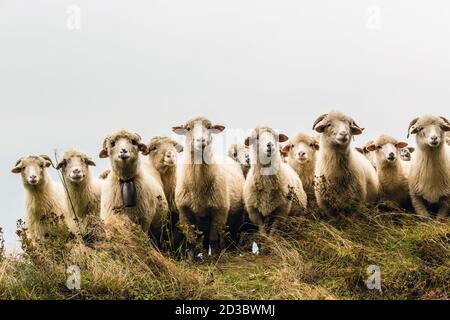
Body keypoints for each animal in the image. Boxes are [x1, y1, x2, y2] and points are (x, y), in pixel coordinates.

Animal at [171, 117, 244, 255]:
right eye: (188, 128)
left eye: (209, 127)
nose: (201, 141)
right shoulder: (184, 213)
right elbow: (191, 242)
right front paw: (190, 259)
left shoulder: (219, 212)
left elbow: (214, 241)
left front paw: (214, 257)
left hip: (234, 219)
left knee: (230, 237)